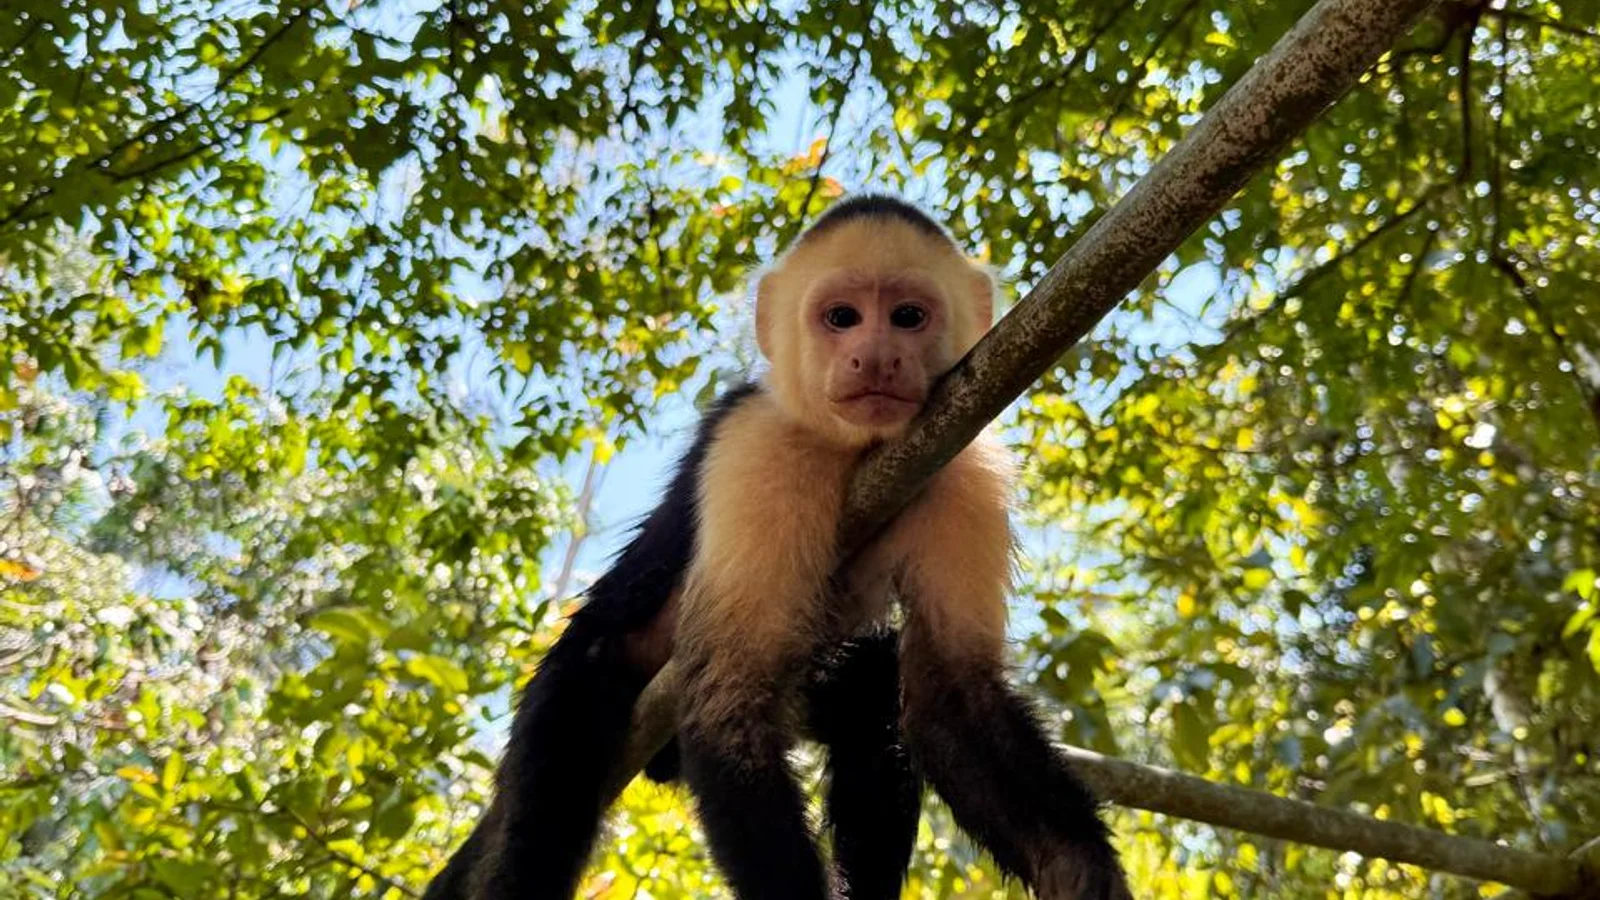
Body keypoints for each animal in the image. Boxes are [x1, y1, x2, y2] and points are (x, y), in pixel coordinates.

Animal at [424, 194, 1129, 900]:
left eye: (907, 317)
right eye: (842, 318)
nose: (874, 357)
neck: (856, 449)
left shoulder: (964, 468)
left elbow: (948, 694)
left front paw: (1078, 868)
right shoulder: (761, 447)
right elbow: (729, 698)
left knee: (874, 701)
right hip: (580, 679)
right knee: (548, 803)